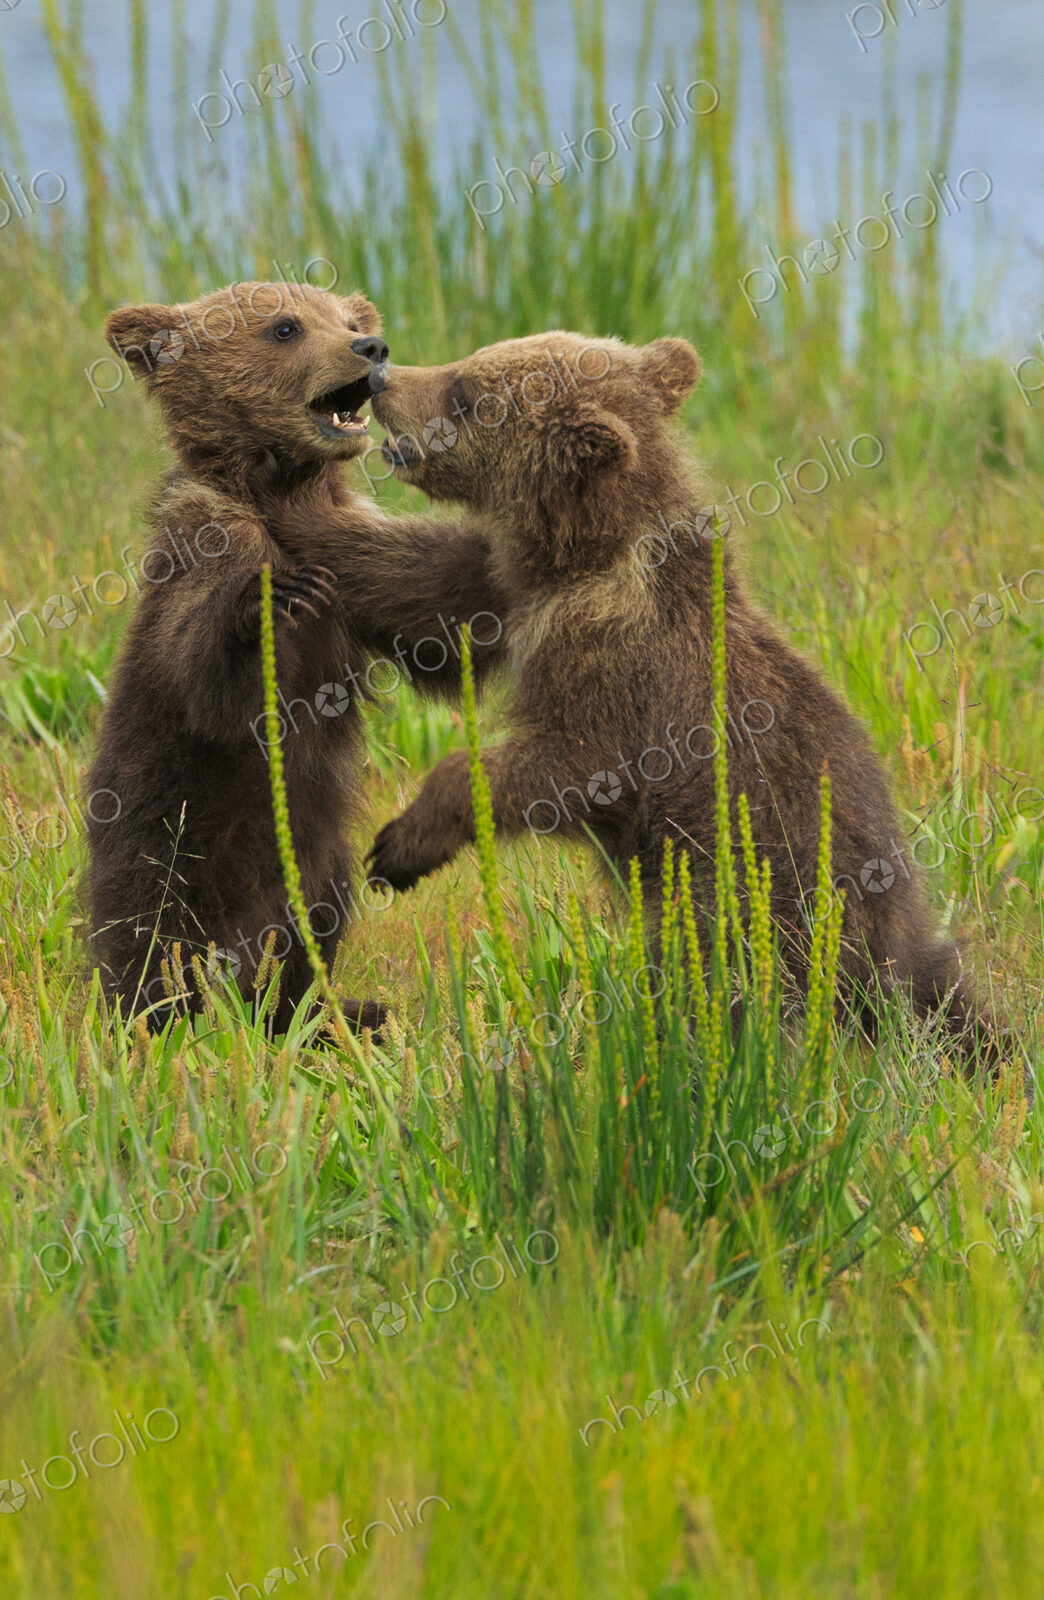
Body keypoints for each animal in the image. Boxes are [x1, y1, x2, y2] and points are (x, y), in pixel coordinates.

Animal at [87, 281, 508, 1034]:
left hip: (315, 857)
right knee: (155, 929)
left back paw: (335, 1012)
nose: (371, 347)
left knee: (315, 917)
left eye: (344, 319)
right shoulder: (204, 543)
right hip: (169, 825)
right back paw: (161, 1014)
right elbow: (209, 679)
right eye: (285, 327)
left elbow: (436, 619)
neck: (272, 484)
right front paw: (267, 600)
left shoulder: (352, 567)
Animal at [362, 330, 1002, 1065]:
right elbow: (425, 596)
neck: (583, 565)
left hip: (750, 900)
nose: (381, 378)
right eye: (470, 361)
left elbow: (563, 765)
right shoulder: (508, 598)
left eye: (465, 393)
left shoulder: (624, 688)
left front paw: (399, 846)